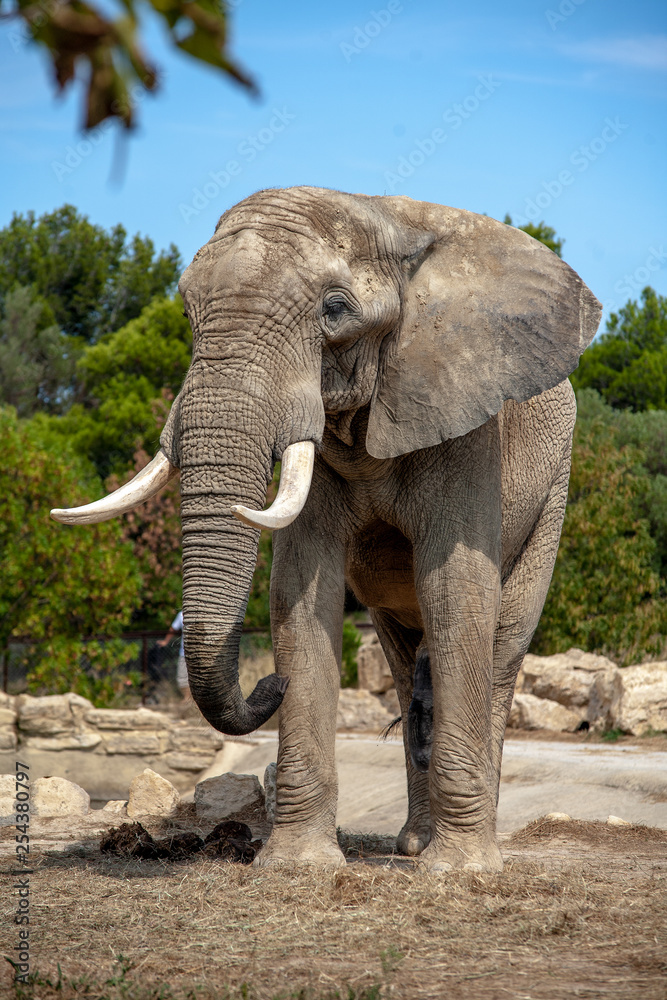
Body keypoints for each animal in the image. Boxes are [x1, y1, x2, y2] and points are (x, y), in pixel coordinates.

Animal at [52, 186, 601, 872]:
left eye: (335, 310)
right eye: (185, 310)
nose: (267, 682)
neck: (386, 218)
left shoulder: (466, 422)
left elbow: (457, 590)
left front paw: (460, 872)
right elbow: (300, 587)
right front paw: (297, 865)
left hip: (555, 486)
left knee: (500, 649)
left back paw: (462, 847)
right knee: (404, 665)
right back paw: (413, 843)